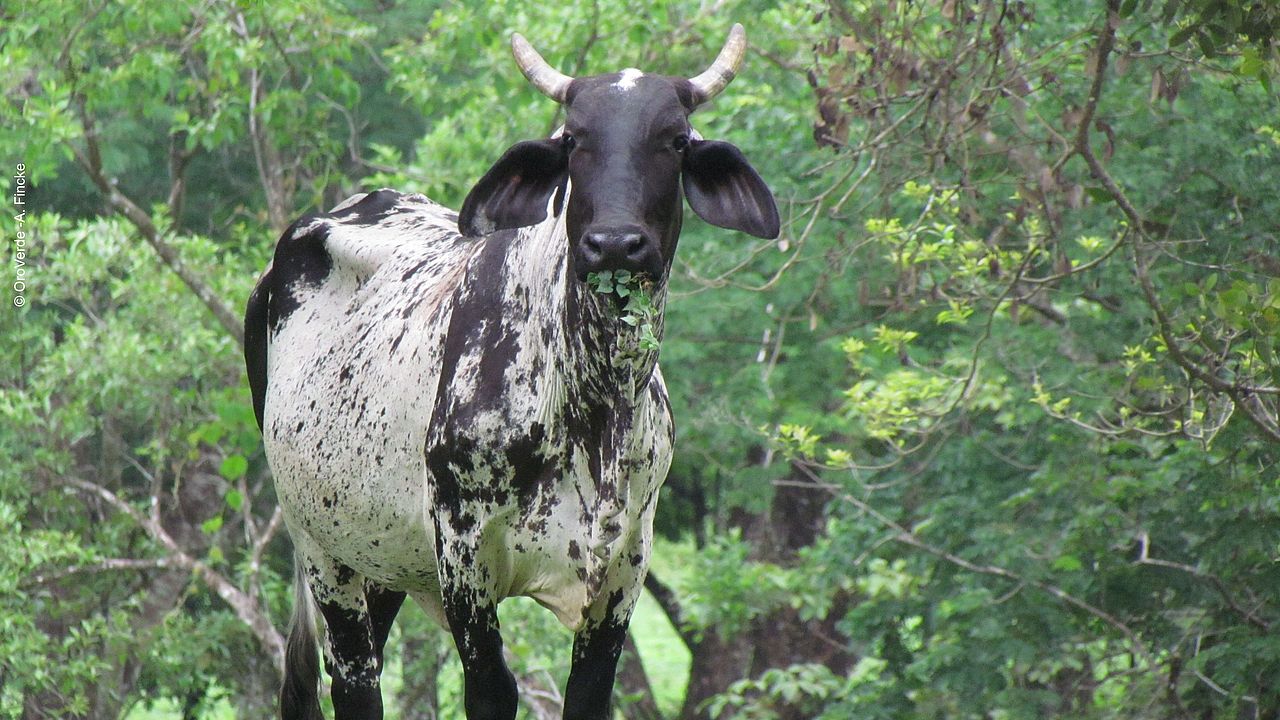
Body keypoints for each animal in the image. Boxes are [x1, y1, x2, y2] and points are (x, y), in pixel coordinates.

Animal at [243, 25, 773, 717]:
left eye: (676, 140)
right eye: (573, 139)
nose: (614, 244)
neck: (594, 403)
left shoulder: (625, 567)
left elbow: (590, 693)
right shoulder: (463, 556)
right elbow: (494, 688)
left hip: (379, 554)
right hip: (320, 546)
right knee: (354, 680)